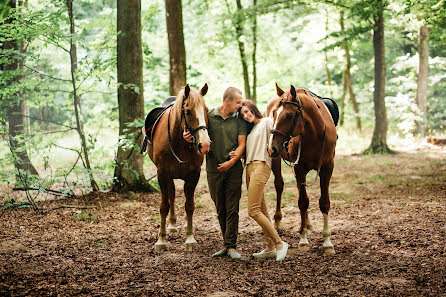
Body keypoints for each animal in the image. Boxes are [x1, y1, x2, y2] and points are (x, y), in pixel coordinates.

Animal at [145, 83, 210, 250]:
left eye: (205, 110)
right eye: (188, 111)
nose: (204, 145)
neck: (178, 142)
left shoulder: (194, 175)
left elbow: (190, 205)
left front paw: (190, 238)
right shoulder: (162, 174)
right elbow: (164, 206)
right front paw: (161, 240)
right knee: (171, 195)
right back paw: (172, 225)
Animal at [266, 84, 336, 254]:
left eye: (289, 116)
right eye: (274, 114)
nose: (271, 148)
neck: (314, 134)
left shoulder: (327, 168)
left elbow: (324, 202)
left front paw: (327, 242)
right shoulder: (299, 168)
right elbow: (303, 202)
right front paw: (303, 240)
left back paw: (306, 223)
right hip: (277, 159)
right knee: (279, 185)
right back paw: (278, 221)